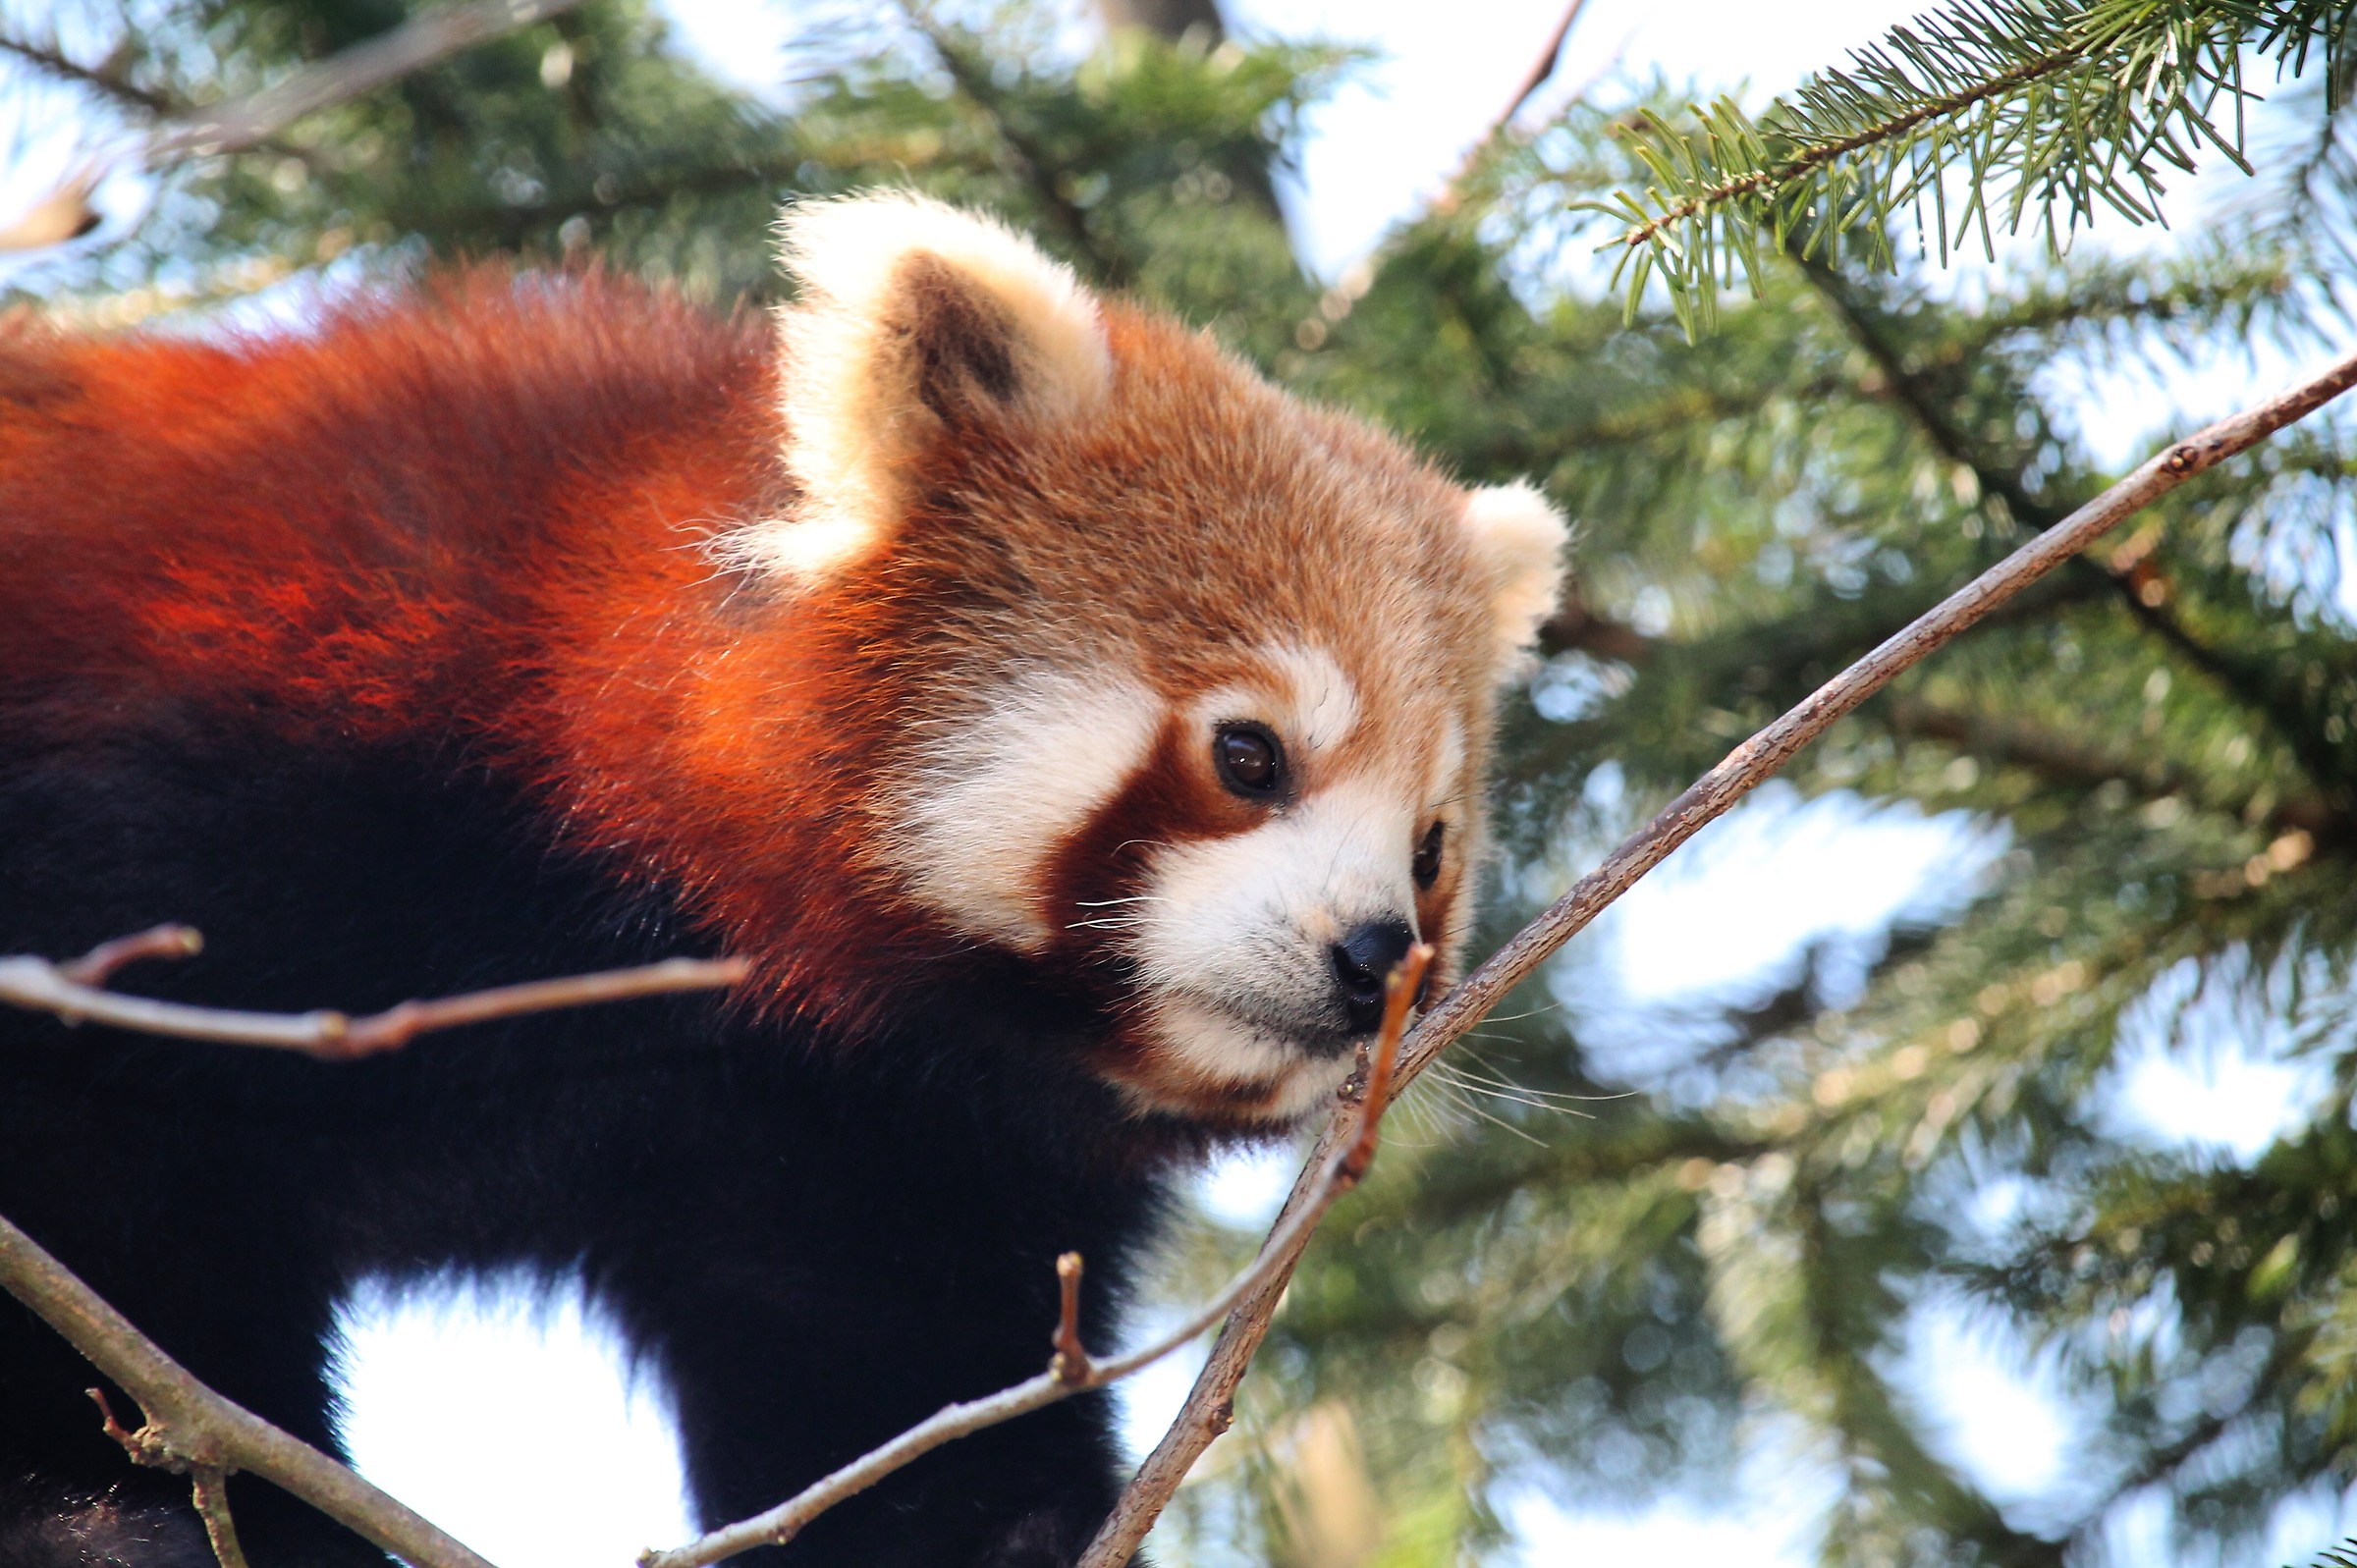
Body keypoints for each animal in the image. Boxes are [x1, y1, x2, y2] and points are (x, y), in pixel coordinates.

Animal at [0, 191, 1566, 1566]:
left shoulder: (857, 1148)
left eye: (1430, 850)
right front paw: (143, 1512)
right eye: (1249, 755)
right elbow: (107, 1195)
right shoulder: (235, 779)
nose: (1371, 957)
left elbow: (887, 1399)